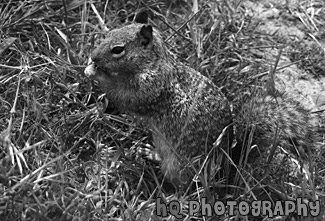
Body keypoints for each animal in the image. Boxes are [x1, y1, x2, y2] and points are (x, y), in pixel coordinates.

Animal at [84, 9, 314, 185]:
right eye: (109, 33)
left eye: (118, 49)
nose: (93, 56)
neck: (154, 63)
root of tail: (226, 166)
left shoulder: (152, 88)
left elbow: (126, 99)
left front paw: (96, 73)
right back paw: (150, 152)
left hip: (179, 165)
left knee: (181, 185)